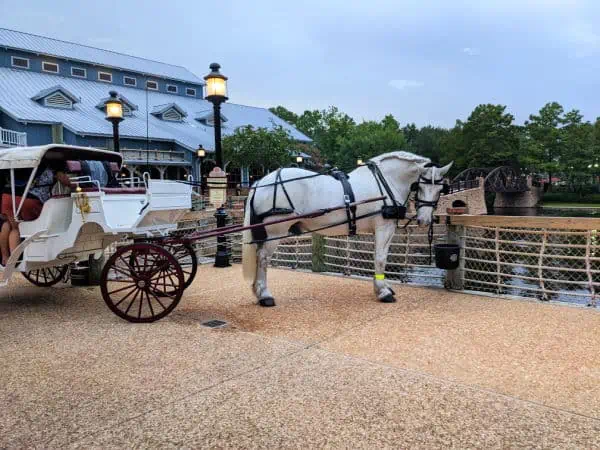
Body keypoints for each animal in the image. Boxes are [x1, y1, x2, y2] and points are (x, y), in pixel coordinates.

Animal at [241, 151, 452, 306]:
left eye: (440, 190)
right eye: (420, 186)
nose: (424, 220)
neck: (386, 182)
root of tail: (260, 182)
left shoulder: (386, 229)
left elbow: (382, 258)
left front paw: (382, 287)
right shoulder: (383, 228)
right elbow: (380, 258)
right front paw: (383, 292)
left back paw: (258, 292)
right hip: (275, 231)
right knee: (263, 258)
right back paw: (264, 295)